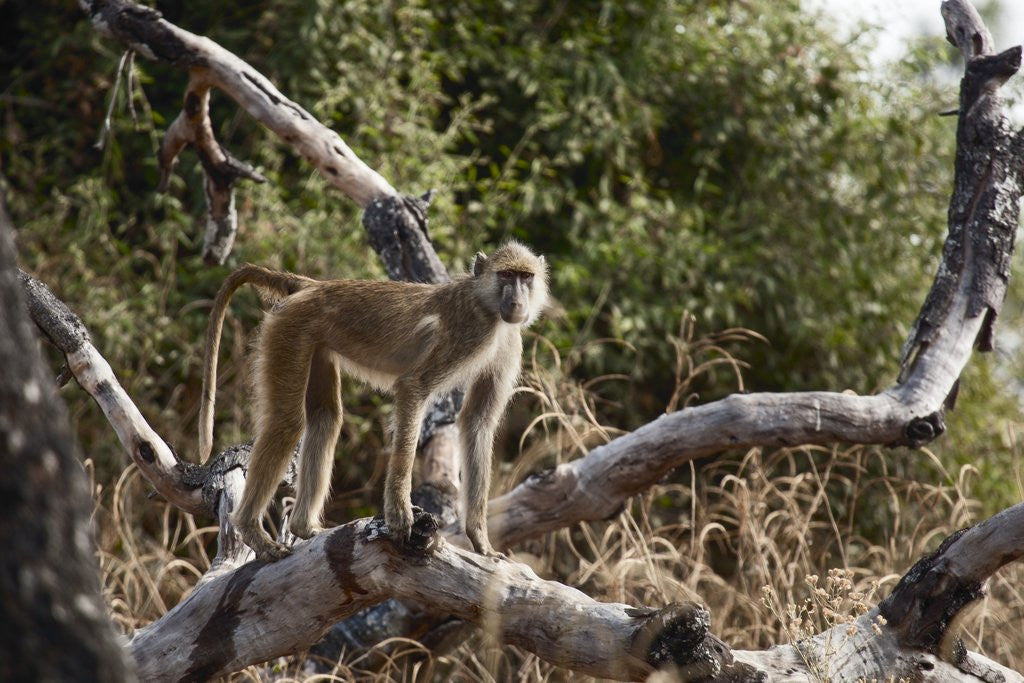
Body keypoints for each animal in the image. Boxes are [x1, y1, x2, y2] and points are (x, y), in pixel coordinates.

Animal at [197, 241, 549, 561]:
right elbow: (412, 387)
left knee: (326, 417)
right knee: (286, 423)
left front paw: (480, 541)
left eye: (525, 276)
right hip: (290, 329)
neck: (486, 306)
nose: (517, 301)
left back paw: (303, 528)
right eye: (506, 275)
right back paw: (252, 532)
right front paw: (398, 513)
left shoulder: (508, 343)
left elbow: (477, 423)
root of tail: (314, 286)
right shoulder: (470, 332)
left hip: (313, 340)